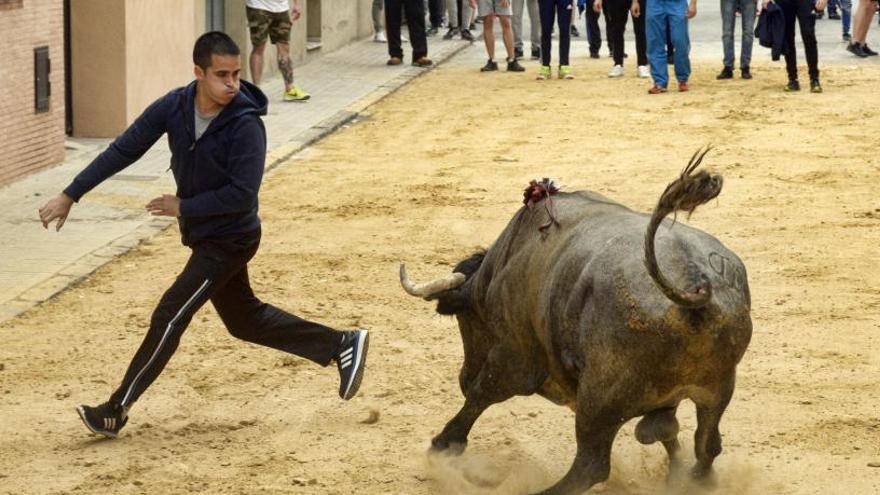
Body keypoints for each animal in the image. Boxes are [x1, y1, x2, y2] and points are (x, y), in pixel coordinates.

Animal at [402, 152, 752, 495]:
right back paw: (697, 479)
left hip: (597, 402)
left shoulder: (513, 356)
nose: (462, 377)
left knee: (591, 466)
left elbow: (481, 394)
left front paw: (443, 445)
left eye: (465, 320)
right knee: (707, 446)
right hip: (718, 389)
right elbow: (663, 432)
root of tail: (692, 284)